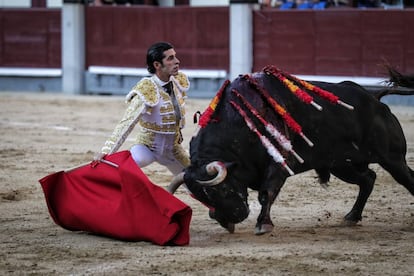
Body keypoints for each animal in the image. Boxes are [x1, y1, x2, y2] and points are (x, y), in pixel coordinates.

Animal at [168, 66, 414, 234]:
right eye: (202, 197)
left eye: (223, 190)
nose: (229, 220)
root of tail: (374, 98)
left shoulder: (280, 164)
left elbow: (266, 193)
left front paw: (264, 224)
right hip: (341, 164)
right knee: (368, 179)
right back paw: (352, 217)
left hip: (392, 159)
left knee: (406, 178)